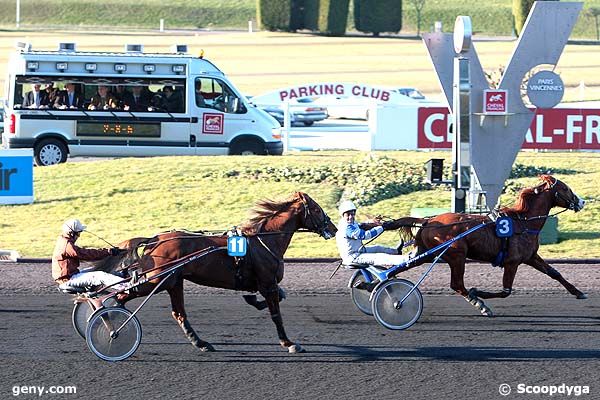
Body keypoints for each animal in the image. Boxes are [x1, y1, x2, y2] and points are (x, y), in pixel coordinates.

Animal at [98, 193, 336, 354]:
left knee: (178, 313)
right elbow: (276, 313)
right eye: (316, 209)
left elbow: (279, 296)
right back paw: (113, 323)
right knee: (121, 296)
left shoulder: (267, 284)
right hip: (157, 280)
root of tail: (155, 240)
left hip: (173, 281)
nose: (333, 228)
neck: (264, 241)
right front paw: (289, 343)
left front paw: (252, 300)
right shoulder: (267, 282)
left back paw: (200, 343)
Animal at [392, 175, 584, 316]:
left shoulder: (530, 257)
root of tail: (428, 221)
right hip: (457, 255)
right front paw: (477, 292)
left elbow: (554, 273)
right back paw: (479, 303)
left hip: (426, 253)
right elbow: (506, 291)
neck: (523, 222)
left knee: (399, 268)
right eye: (565, 188)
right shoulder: (512, 262)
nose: (581, 202)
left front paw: (578, 292)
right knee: (457, 284)